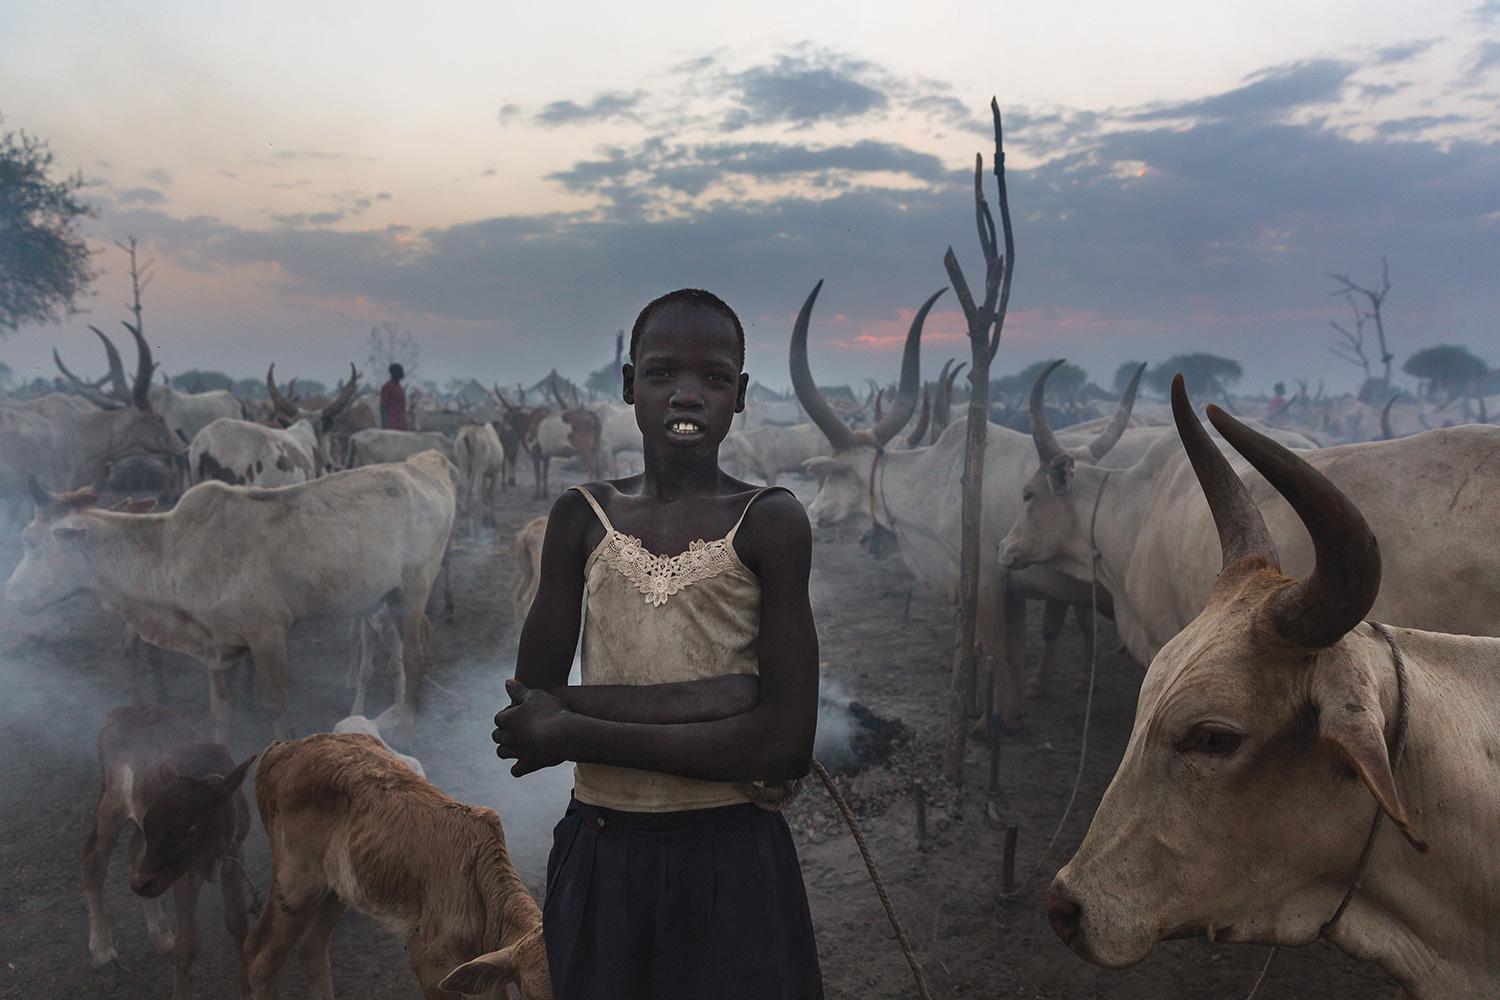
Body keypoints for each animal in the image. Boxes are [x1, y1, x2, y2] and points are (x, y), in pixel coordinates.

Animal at [4, 452, 456, 743]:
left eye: (30, 541)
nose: (11, 593)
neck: (175, 550)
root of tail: (425, 469)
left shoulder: (268, 633)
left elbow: (276, 705)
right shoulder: (217, 645)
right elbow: (221, 710)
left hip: (415, 586)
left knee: (415, 651)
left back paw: (409, 724)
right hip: (390, 595)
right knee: (421, 638)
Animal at [82, 704, 256, 1000]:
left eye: (191, 826)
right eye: (152, 821)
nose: (142, 883)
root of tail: (119, 713)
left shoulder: (234, 856)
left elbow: (237, 923)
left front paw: (247, 991)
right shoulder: (182, 872)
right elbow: (189, 943)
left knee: (135, 854)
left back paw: (161, 935)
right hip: (113, 802)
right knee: (95, 860)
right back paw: (102, 947)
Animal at [249, 728, 555, 1000]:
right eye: (532, 995)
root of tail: (283, 748)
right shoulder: (430, 962)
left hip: (335, 887)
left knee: (311, 945)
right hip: (294, 882)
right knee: (261, 958)